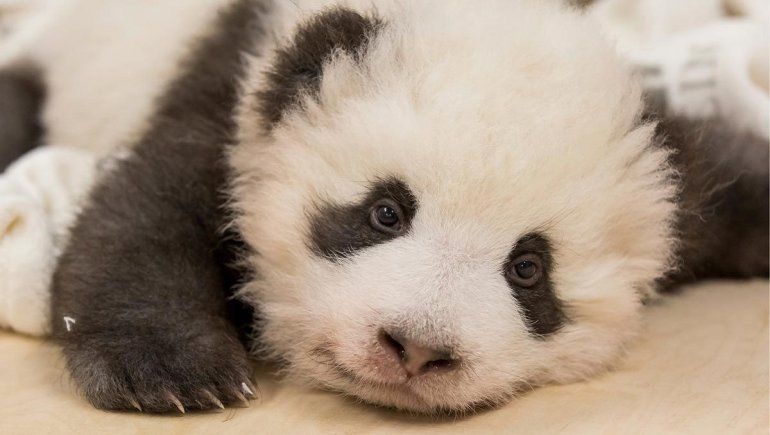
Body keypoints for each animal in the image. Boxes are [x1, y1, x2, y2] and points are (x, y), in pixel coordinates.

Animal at [0, 0, 766, 414]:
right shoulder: (237, 96)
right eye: (385, 213)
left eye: (528, 268)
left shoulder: (680, 176)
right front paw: (171, 373)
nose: (416, 348)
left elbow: (727, 178)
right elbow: (144, 212)